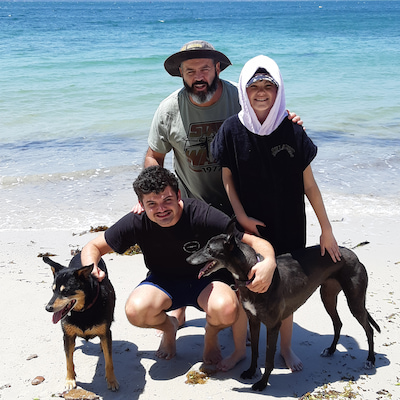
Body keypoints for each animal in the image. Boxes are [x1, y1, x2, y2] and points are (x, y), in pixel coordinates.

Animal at [44, 255, 119, 392]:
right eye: (53, 290)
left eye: (66, 291)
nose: (48, 308)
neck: (83, 311)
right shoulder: (68, 336)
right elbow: (68, 361)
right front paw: (70, 380)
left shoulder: (106, 333)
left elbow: (109, 361)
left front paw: (112, 381)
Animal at [186, 219, 380, 390]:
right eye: (205, 245)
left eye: (209, 248)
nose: (187, 260)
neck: (252, 274)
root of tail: (353, 254)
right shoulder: (254, 320)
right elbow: (255, 350)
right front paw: (250, 372)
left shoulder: (273, 325)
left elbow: (268, 358)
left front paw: (262, 383)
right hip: (328, 296)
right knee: (338, 322)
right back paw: (331, 350)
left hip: (355, 301)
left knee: (369, 328)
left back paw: (370, 360)